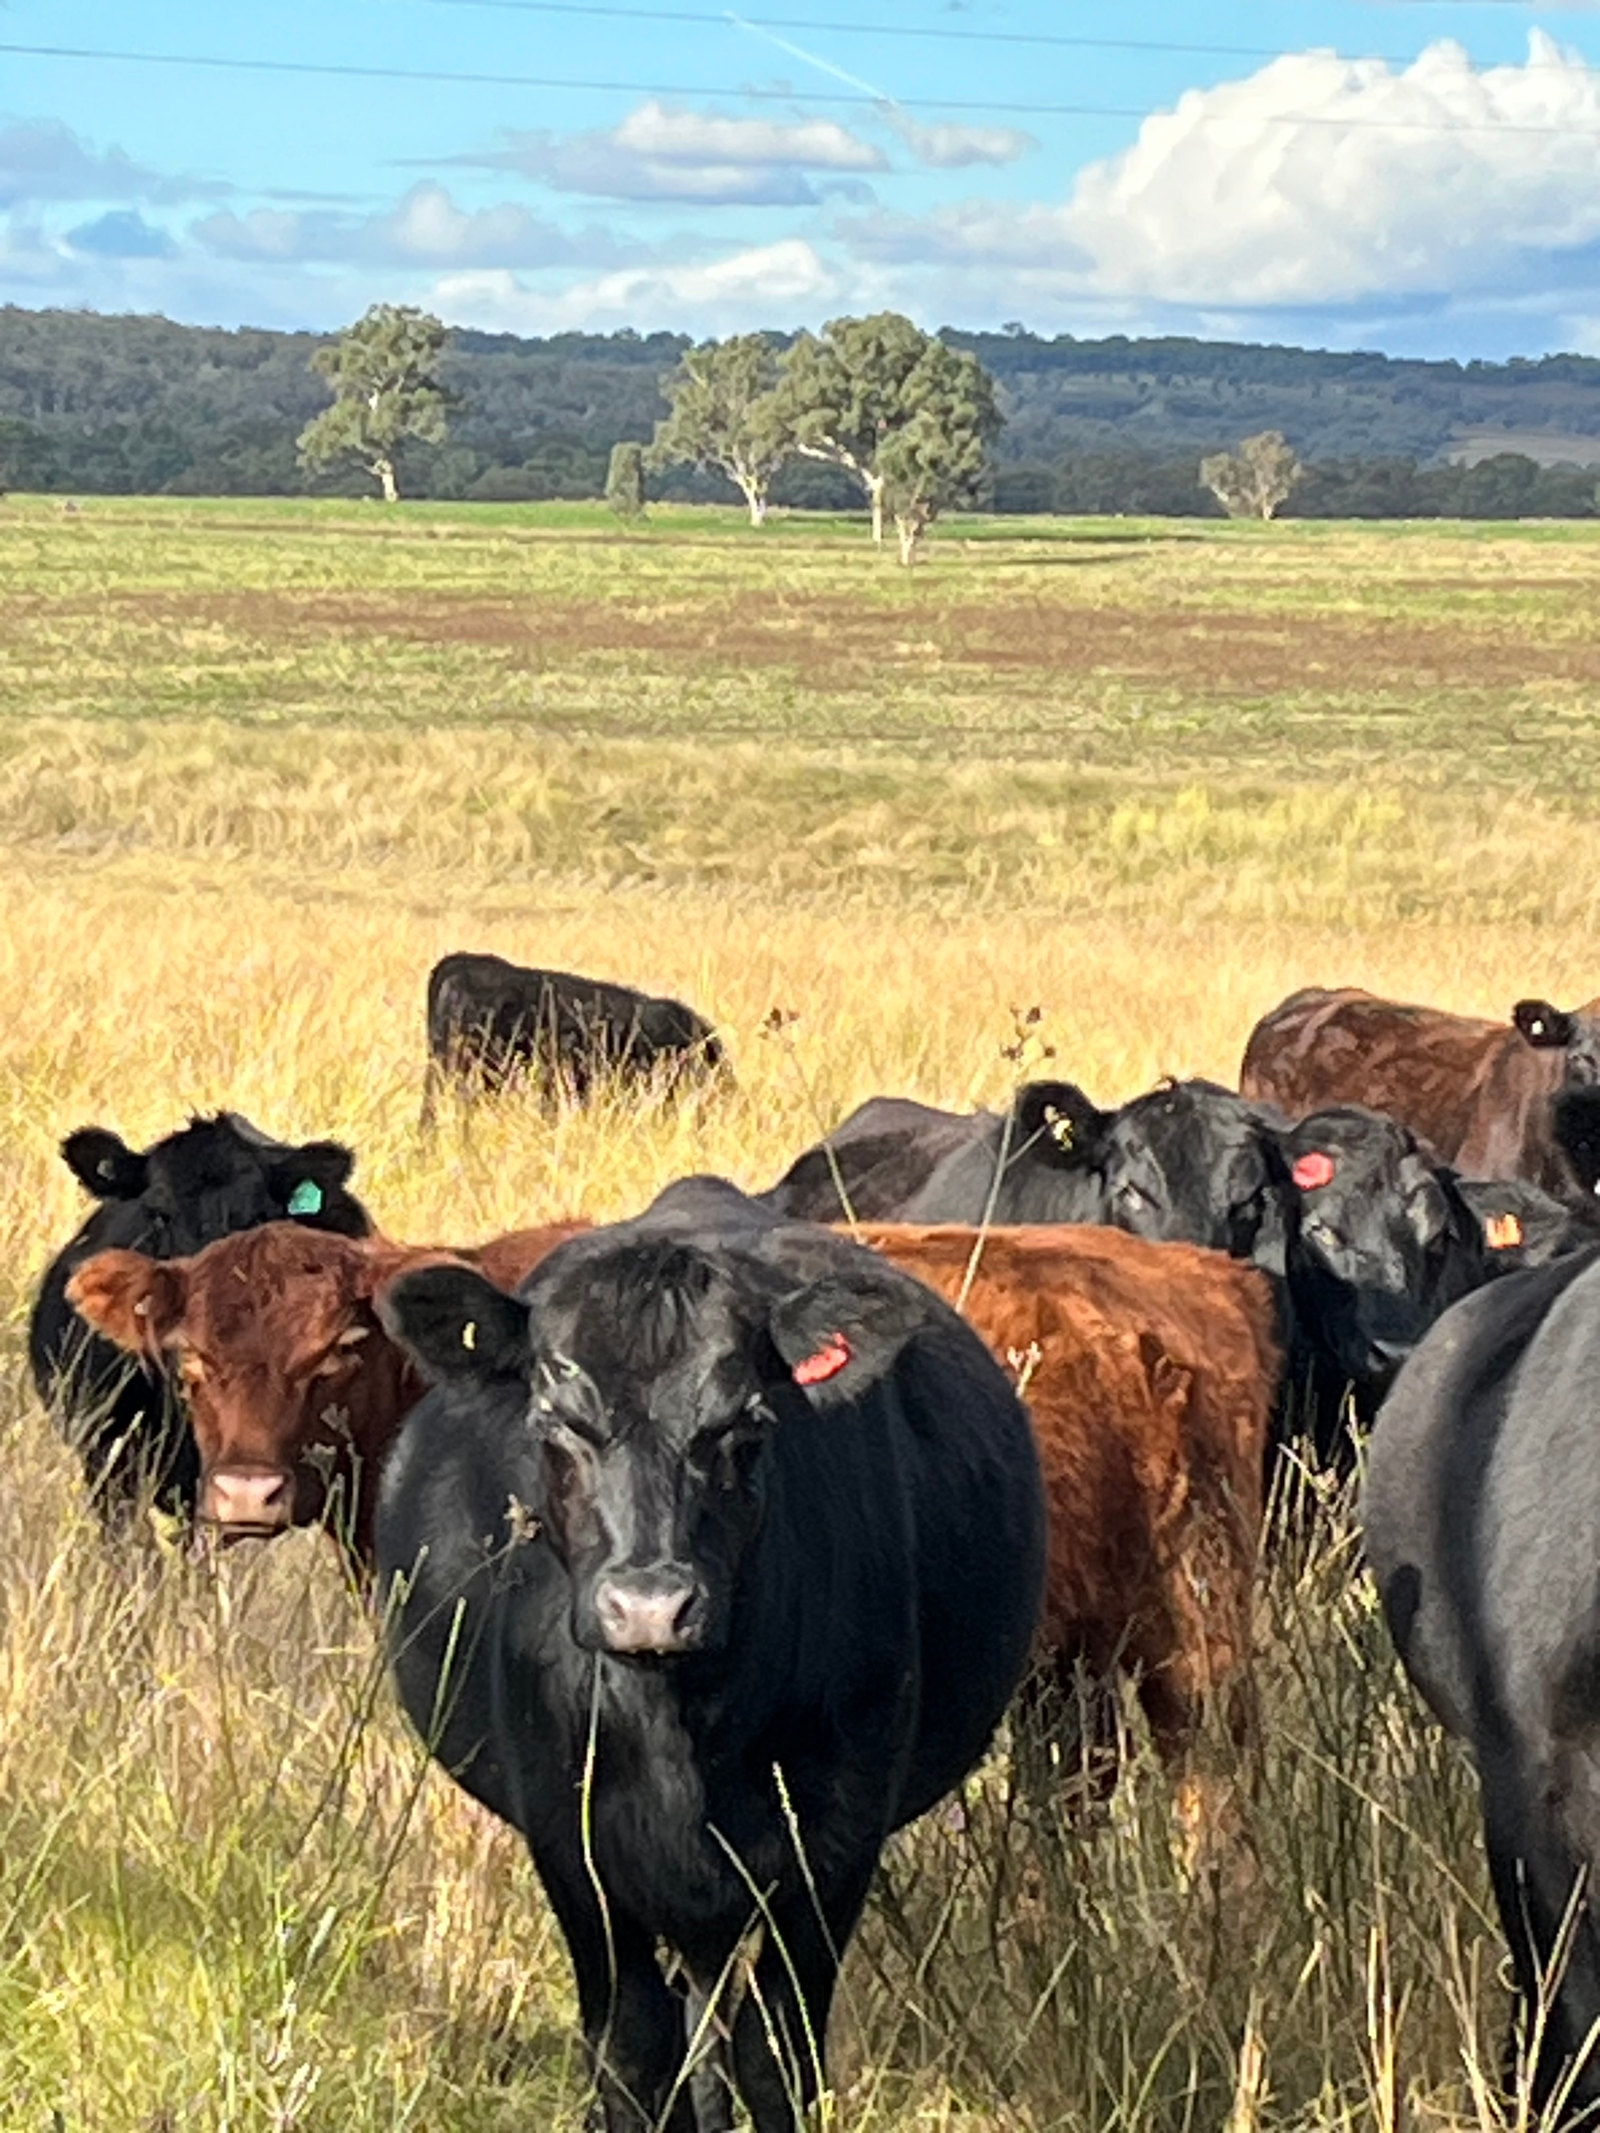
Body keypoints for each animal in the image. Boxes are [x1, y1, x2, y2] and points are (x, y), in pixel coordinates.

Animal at [374, 1176, 1046, 2132]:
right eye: (558, 1423)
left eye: (743, 1426)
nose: (650, 1607)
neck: (675, 1731)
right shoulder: (569, 1840)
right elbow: (631, 2049)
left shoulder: (835, 1839)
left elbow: (776, 2053)